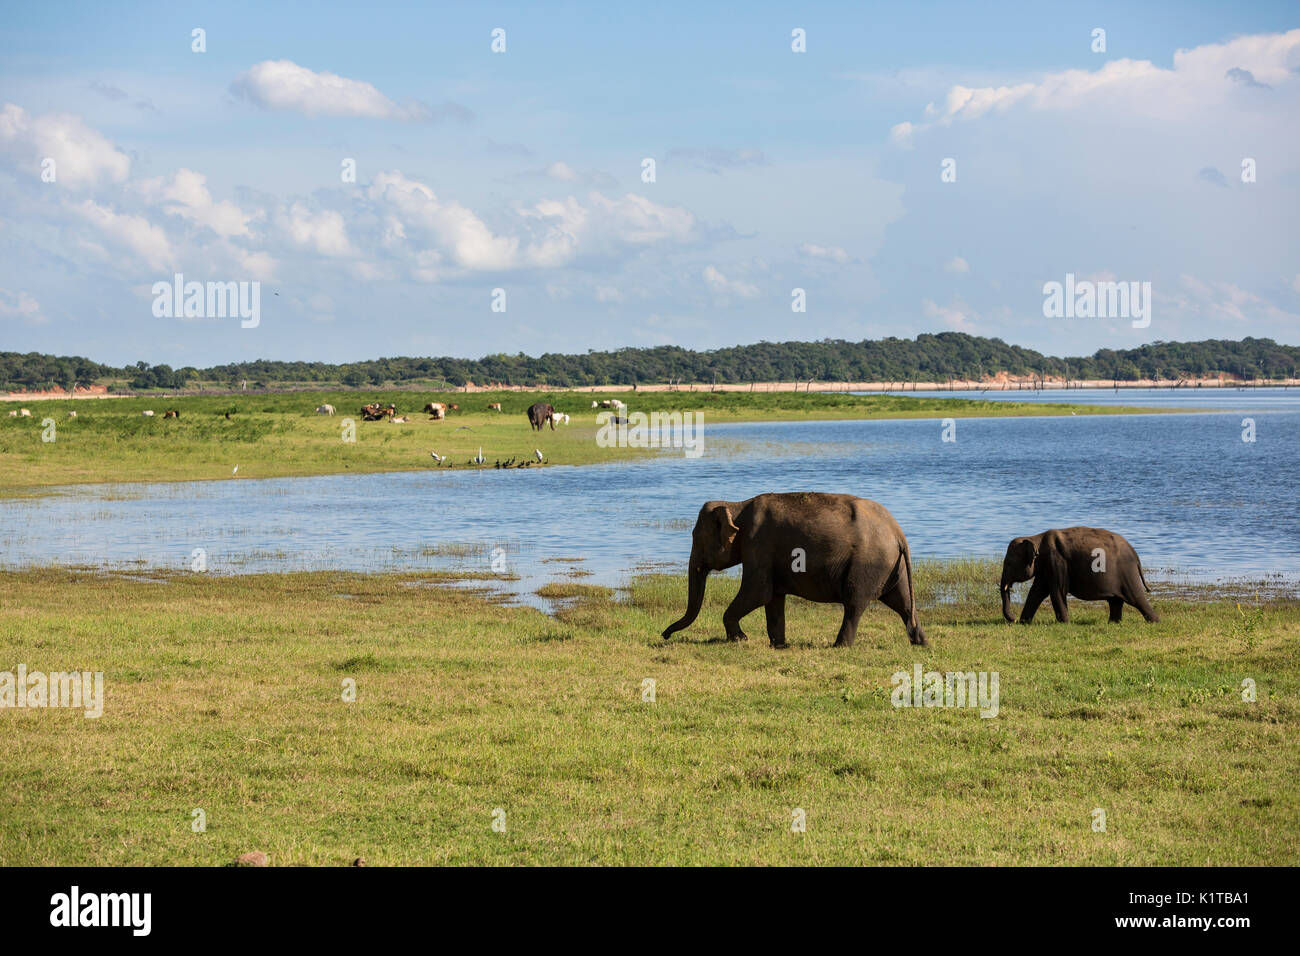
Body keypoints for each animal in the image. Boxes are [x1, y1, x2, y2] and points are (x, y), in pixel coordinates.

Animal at [660, 494, 925, 650]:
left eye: (696, 538)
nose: (664, 635)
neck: (736, 506)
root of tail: (897, 531)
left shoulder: (758, 545)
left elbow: (758, 593)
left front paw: (740, 639)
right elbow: (773, 599)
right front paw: (778, 645)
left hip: (867, 564)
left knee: (854, 604)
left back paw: (839, 646)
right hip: (893, 566)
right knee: (903, 603)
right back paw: (921, 642)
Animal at [1003, 528, 1159, 624]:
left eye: (1009, 563)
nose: (1013, 619)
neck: (1035, 537)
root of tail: (1135, 554)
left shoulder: (1057, 562)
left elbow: (1057, 591)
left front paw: (1065, 624)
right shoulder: (1046, 567)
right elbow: (1036, 592)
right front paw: (1024, 623)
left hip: (1127, 573)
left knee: (1135, 598)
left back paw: (1155, 622)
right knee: (1115, 600)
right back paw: (1112, 624)